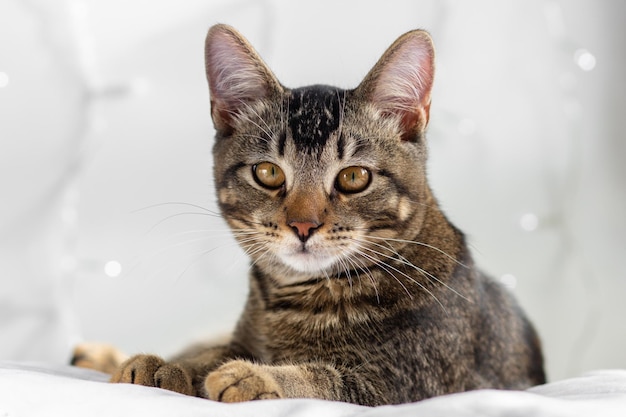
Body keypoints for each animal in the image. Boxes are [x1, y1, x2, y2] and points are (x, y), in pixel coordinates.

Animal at [73, 23, 544, 406]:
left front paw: (255, 376)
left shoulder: (407, 386)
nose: (303, 225)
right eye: (268, 173)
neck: (294, 303)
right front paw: (168, 366)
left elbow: (326, 380)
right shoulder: (239, 336)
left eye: (354, 177)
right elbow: (209, 352)